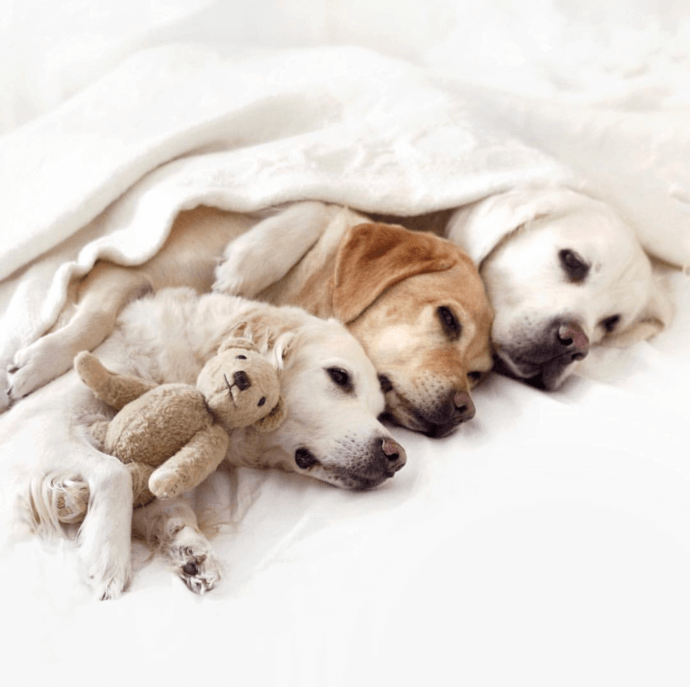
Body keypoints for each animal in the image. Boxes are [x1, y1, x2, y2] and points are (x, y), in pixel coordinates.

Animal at [4, 288, 404, 600]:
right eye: (339, 376)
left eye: (380, 412)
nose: (397, 457)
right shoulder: (36, 422)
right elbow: (113, 471)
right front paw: (106, 555)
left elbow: (161, 500)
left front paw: (189, 547)